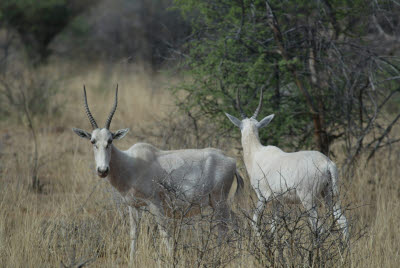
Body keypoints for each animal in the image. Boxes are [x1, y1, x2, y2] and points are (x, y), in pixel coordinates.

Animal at [223, 89, 348, 239]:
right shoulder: (278, 201)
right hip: (329, 194)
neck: (257, 153)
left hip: (308, 200)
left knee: (320, 228)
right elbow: (274, 225)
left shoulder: (263, 197)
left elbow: (255, 222)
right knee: (342, 220)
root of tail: (327, 163)